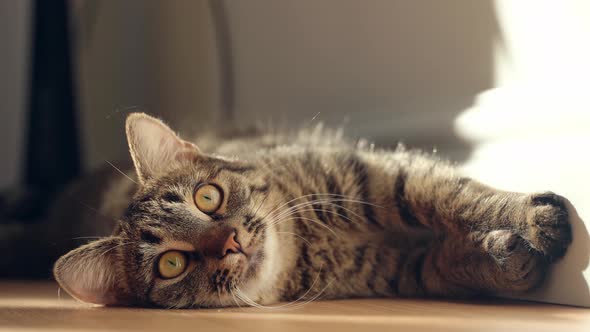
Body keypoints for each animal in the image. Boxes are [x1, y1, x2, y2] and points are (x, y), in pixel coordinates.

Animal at [52, 113, 572, 308]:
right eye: (171, 264)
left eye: (207, 197)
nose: (230, 241)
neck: (305, 240)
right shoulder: (399, 269)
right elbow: (446, 264)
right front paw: (505, 259)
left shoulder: (381, 175)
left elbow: (461, 196)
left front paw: (528, 218)